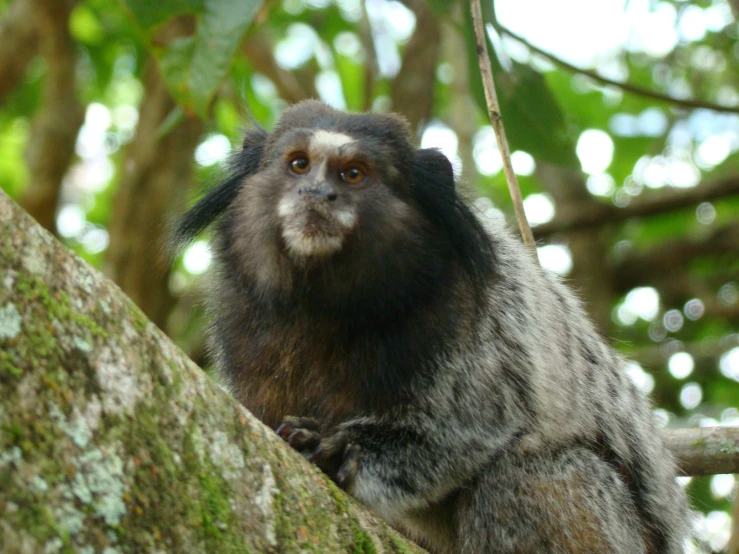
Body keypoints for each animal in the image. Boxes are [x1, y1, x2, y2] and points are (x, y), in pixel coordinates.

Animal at [172, 100, 688, 552]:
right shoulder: (243, 323)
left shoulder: (474, 317)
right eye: (298, 165)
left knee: (535, 475)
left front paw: (337, 448)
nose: (317, 194)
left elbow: (469, 430)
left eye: (353, 173)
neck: (326, 307)